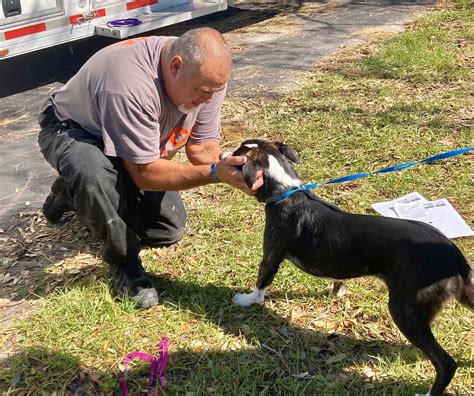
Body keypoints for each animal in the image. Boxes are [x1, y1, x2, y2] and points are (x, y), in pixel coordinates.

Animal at [231, 139, 472, 396]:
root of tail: (456, 258)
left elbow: (261, 284)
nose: (223, 154)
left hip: (406, 310)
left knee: (445, 362)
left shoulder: (271, 255)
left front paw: (246, 300)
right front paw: (337, 292)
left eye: (238, 153)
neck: (286, 192)